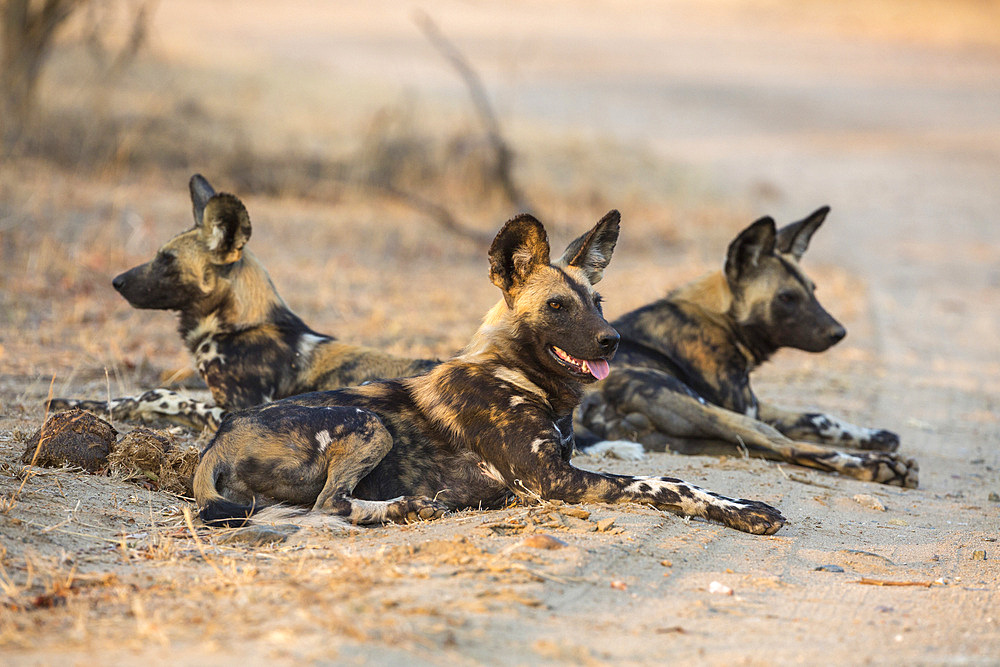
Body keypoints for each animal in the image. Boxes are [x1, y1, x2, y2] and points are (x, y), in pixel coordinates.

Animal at [48, 175, 436, 430]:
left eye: (167, 260)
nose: (117, 282)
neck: (233, 326)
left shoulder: (238, 409)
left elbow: (160, 393)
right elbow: (134, 395)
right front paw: (78, 404)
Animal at [195, 211, 788, 536]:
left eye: (597, 302)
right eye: (557, 307)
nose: (613, 340)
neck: (519, 378)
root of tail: (218, 439)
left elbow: (684, 481)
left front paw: (748, 507)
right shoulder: (554, 482)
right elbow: (668, 482)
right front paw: (740, 511)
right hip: (367, 424)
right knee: (329, 505)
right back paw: (407, 507)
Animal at [576, 206, 916, 488]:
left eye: (813, 290)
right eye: (787, 298)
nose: (839, 332)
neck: (720, 321)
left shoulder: (756, 407)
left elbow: (821, 417)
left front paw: (876, 435)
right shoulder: (744, 409)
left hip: (698, 437)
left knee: (782, 449)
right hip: (706, 411)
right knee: (786, 445)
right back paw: (880, 466)